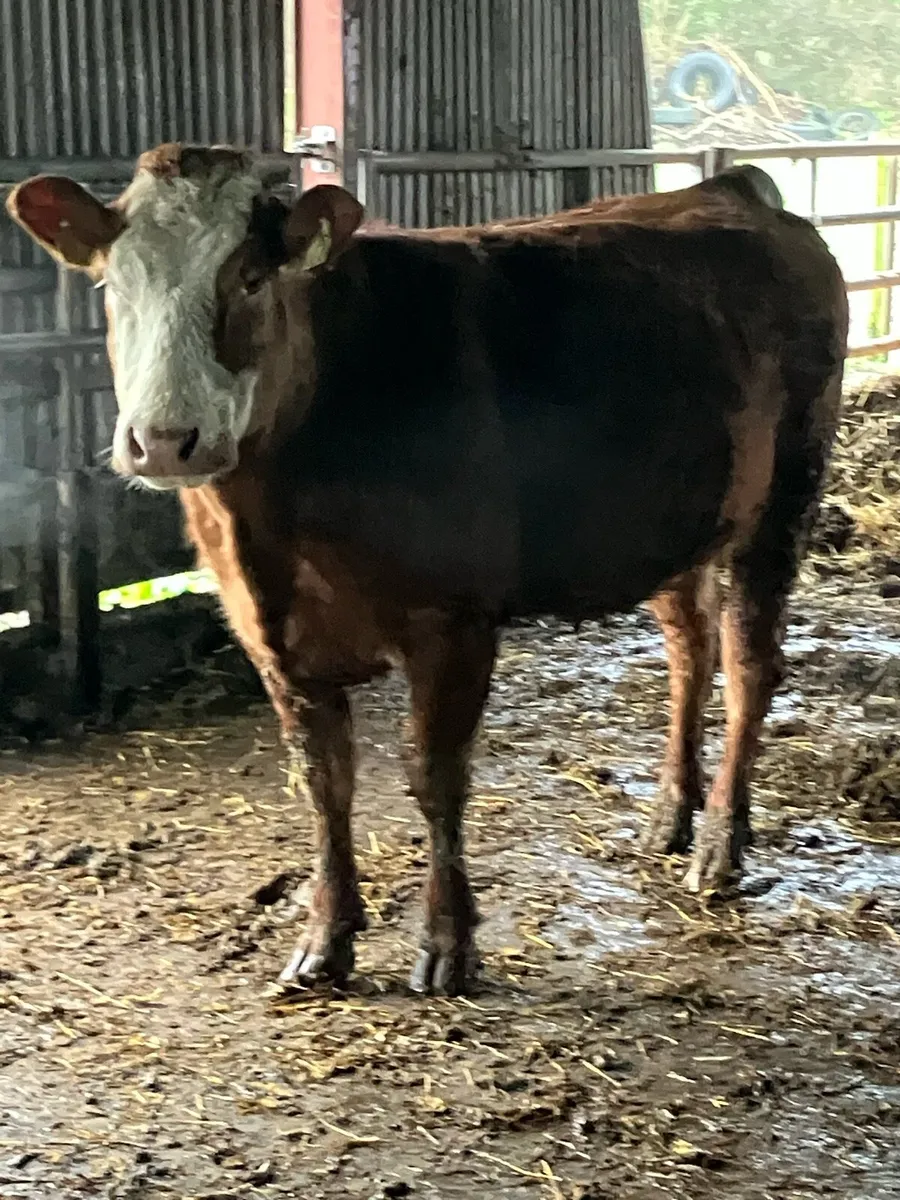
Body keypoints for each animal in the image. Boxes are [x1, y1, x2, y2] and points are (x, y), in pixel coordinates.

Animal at [7, 144, 848, 995]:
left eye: (250, 278)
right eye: (113, 282)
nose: (164, 440)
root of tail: (730, 188)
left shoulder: (455, 621)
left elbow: (435, 778)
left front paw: (448, 945)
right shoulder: (268, 636)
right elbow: (324, 783)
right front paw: (324, 940)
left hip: (787, 492)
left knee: (749, 665)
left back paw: (720, 847)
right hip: (680, 519)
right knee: (690, 647)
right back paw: (674, 814)